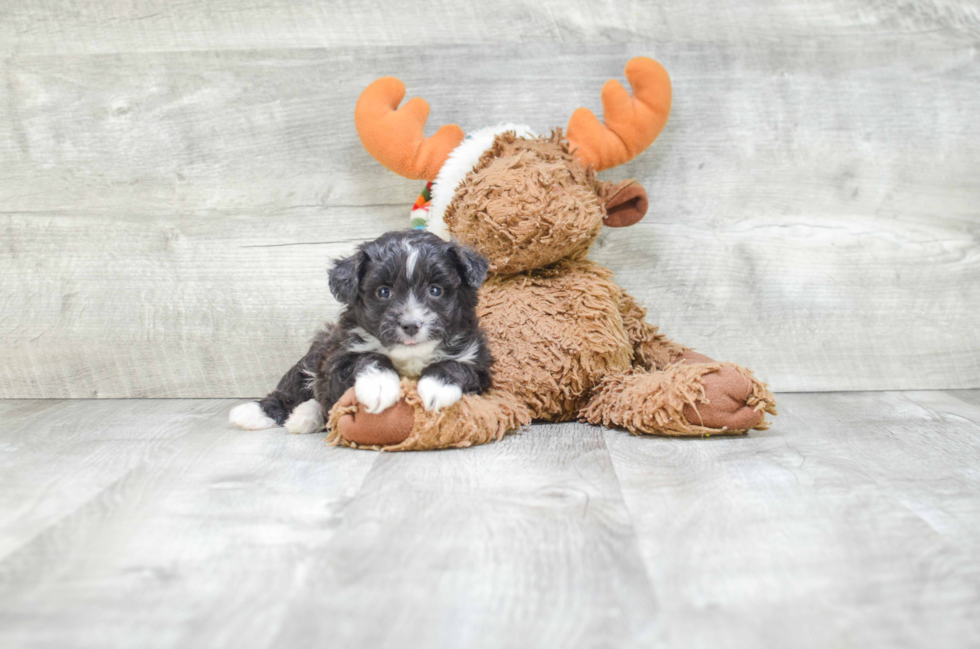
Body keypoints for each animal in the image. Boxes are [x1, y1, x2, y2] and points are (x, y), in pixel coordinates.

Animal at [228, 230, 490, 432]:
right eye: (383, 292)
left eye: (435, 290)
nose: (410, 325)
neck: (410, 357)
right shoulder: (335, 363)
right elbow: (367, 357)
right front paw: (379, 385)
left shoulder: (480, 366)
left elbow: (456, 366)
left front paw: (437, 388)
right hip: (315, 354)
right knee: (293, 388)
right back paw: (256, 412)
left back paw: (305, 416)